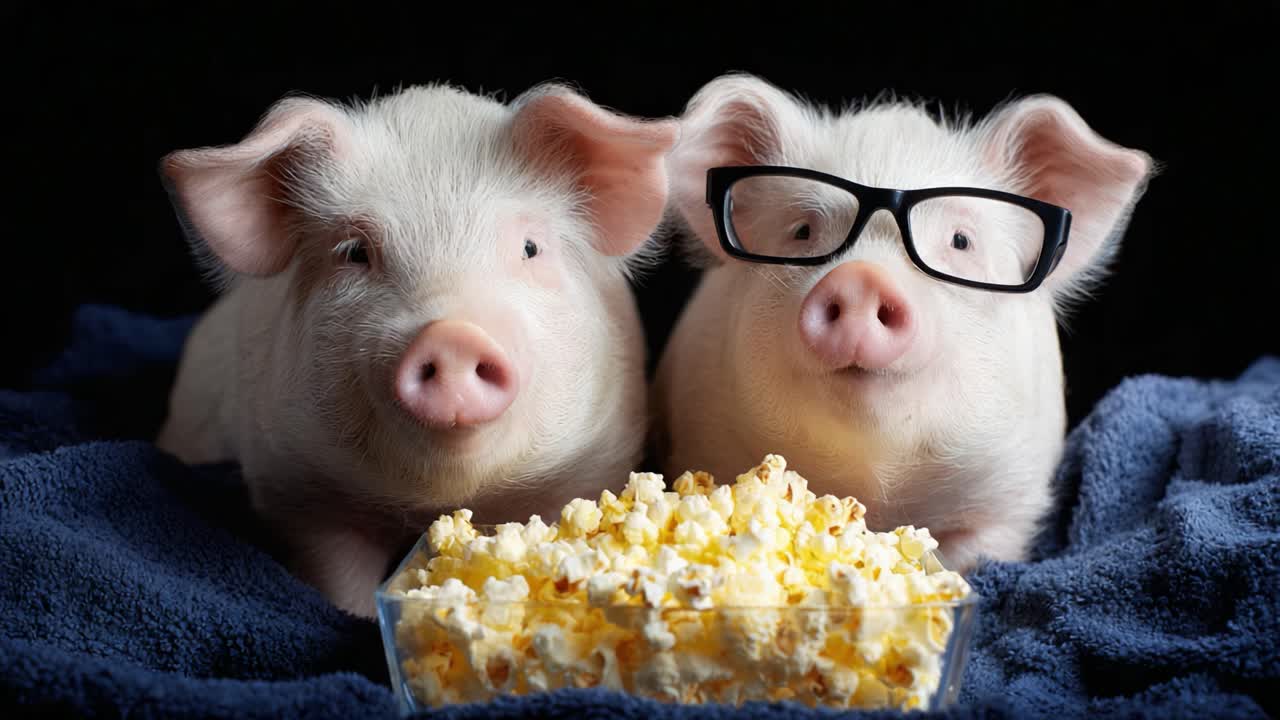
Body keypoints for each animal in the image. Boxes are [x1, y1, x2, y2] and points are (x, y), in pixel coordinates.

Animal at [155, 82, 678, 616]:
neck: (439, 502)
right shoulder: (301, 490)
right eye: (355, 253)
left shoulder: (590, 467)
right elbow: (339, 578)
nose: (453, 335)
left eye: (531, 248)